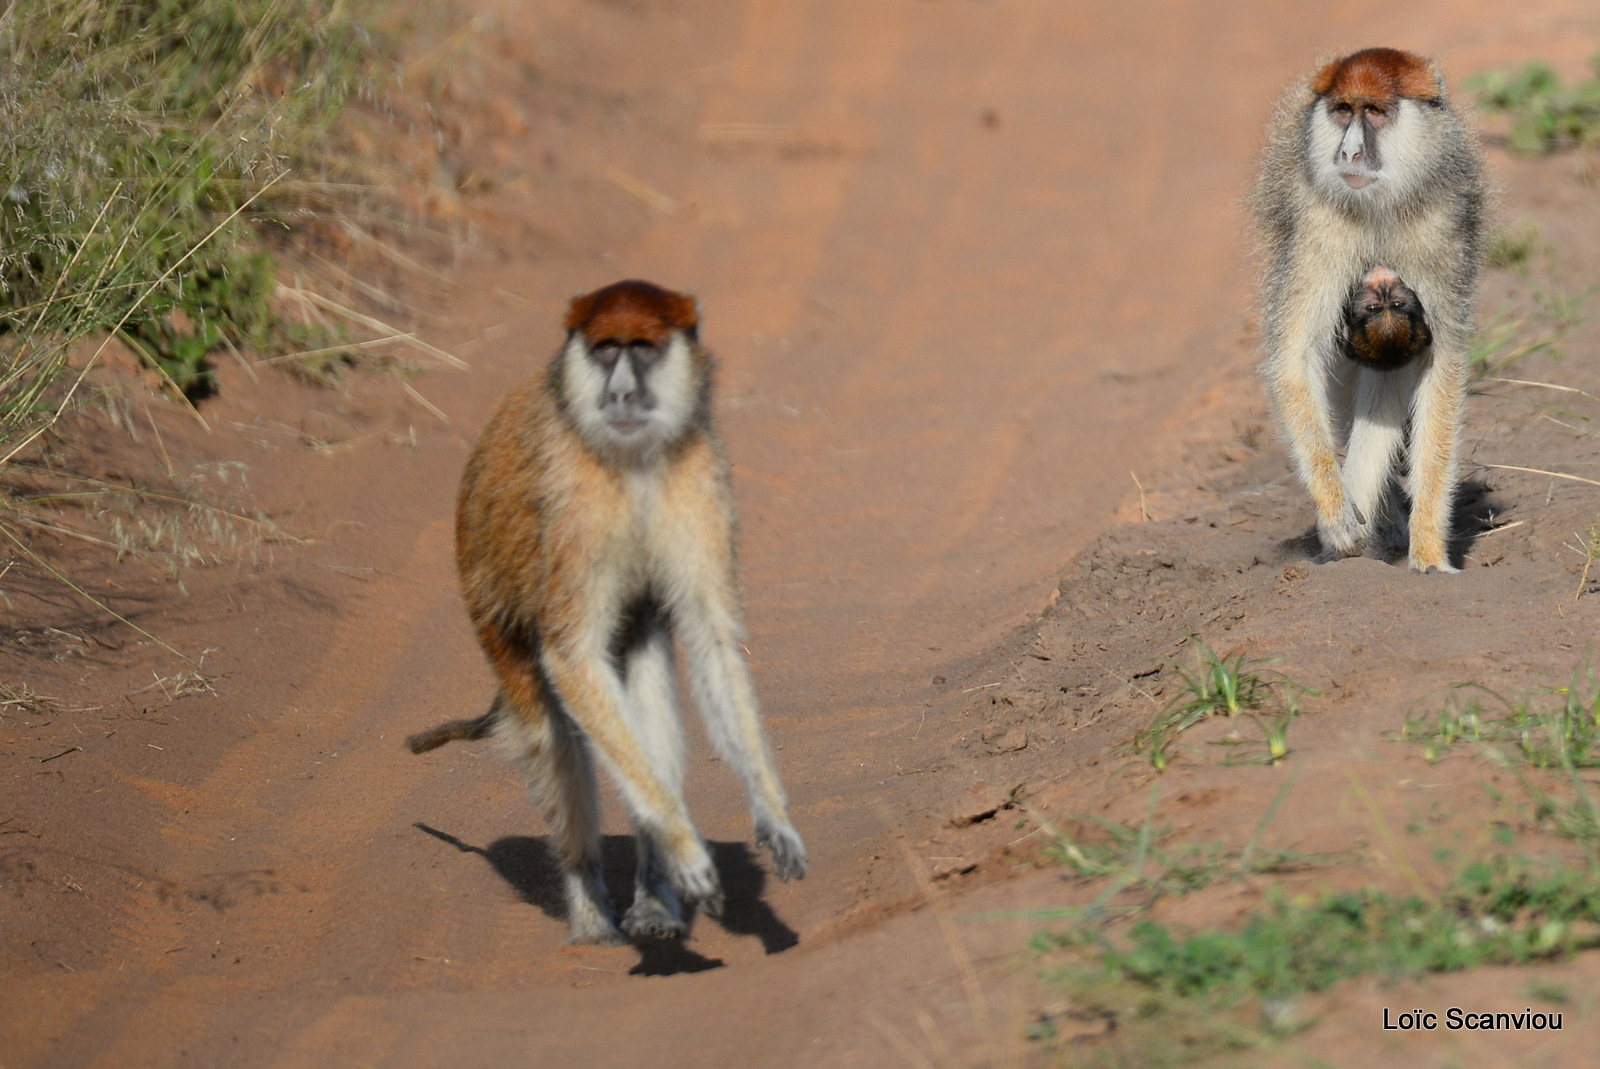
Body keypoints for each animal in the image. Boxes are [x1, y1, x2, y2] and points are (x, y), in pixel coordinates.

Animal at [409, 278, 806, 940]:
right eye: (603, 350)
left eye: (642, 349)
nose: (619, 391)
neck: (634, 460)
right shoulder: (579, 511)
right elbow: (572, 660)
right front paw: (683, 848)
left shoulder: (696, 480)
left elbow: (711, 644)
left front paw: (772, 815)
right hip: (488, 605)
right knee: (551, 732)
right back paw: (591, 906)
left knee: (645, 678)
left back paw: (653, 895)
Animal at [1248, 46, 1484, 572]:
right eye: (1343, 111)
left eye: (1375, 112)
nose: (1349, 152)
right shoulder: (1320, 224)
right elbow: (1294, 358)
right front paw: (1336, 516)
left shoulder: (1438, 226)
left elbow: (1442, 362)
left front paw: (1429, 551)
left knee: (1388, 371)